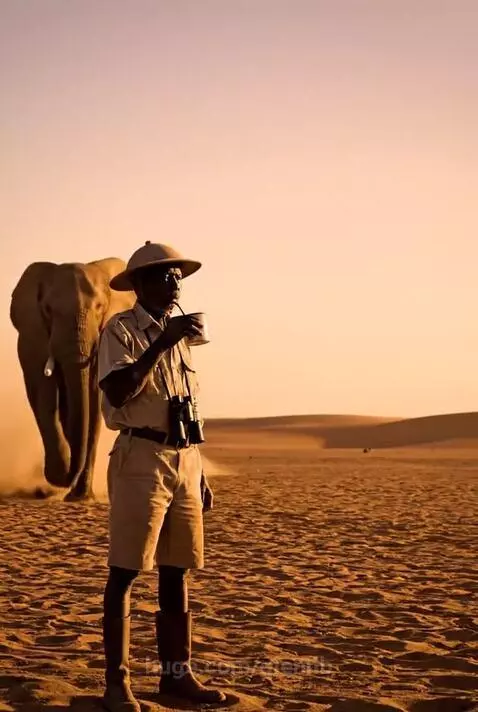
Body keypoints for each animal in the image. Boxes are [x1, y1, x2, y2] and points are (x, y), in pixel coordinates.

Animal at [9, 257, 135, 500]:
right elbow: (43, 393)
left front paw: (79, 496)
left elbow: (94, 402)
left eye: (99, 307)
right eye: (48, 310)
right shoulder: (33, 336)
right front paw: (60, 472)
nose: (66, 478)